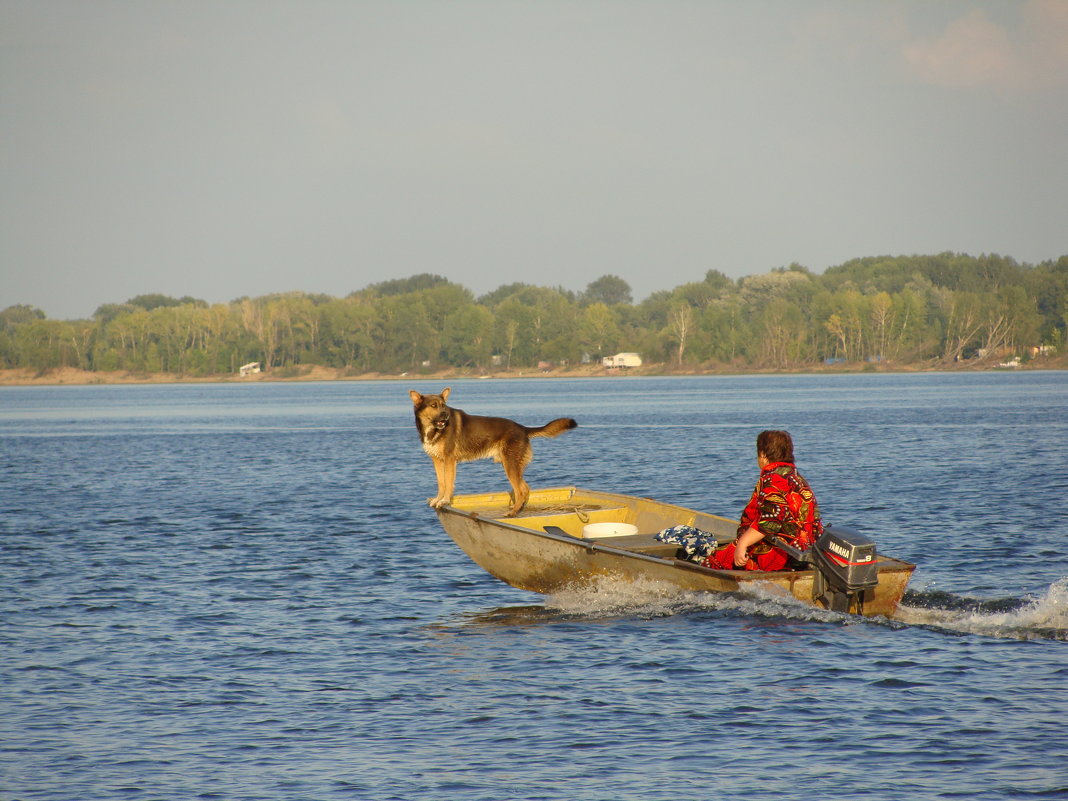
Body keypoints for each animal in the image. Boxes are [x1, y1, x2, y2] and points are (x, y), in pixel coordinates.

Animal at [407, 386, 576, 514]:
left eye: (443, 405)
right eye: (433, 406)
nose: (446, 415)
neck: (433, 429)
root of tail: (522, 429)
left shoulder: (449, 460)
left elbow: (448, 483)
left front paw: (444, 501)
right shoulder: (437, 460)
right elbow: (441, 483)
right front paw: (438, 499)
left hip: (510, 465)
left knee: (521, 490)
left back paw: (513, 513)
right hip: (510, 464)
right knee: (525, 488)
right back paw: (518, 509)